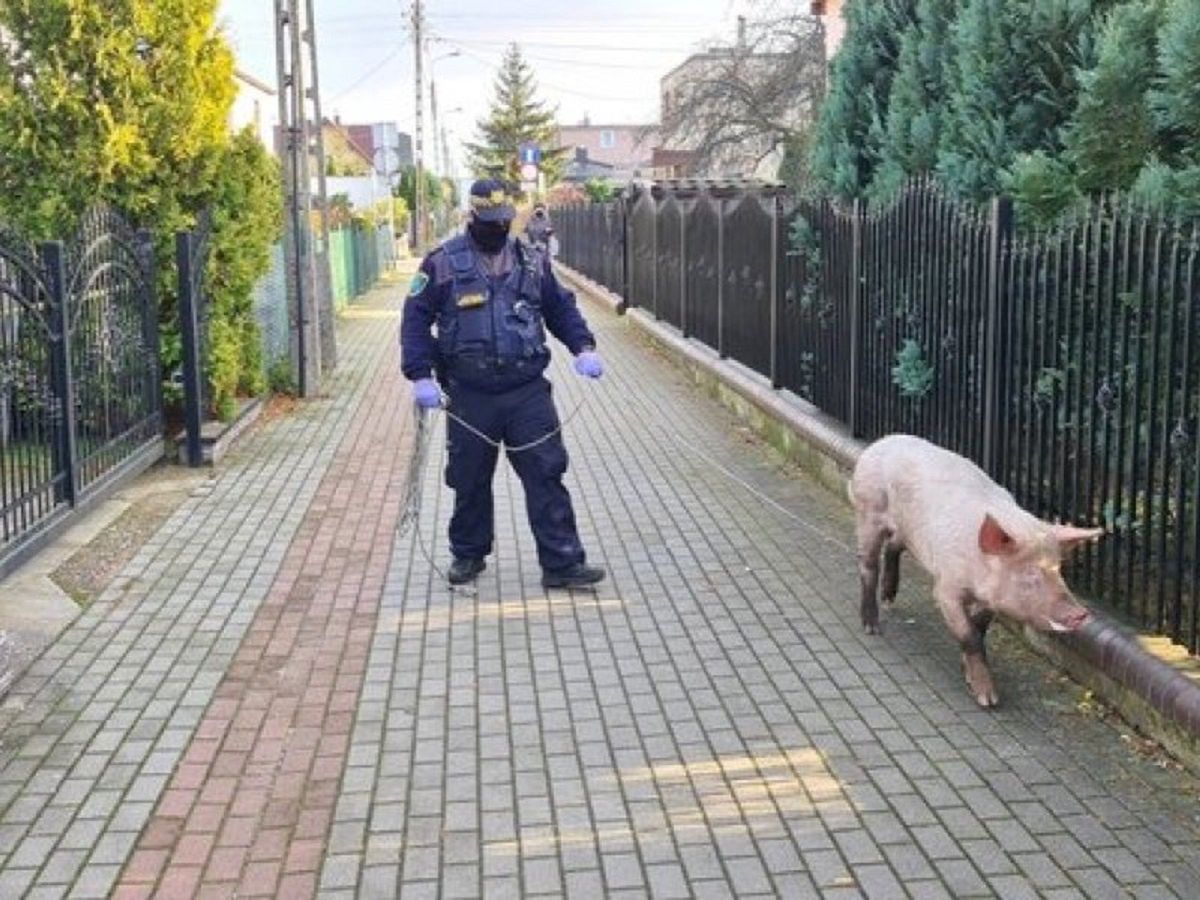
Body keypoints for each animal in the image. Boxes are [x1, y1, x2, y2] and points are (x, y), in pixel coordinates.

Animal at [849, 436, 1099, 710]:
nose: (1081, 613)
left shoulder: (991, 601)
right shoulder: (946, 588)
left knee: (894, 546)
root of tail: (881, 442)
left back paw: (889, 599)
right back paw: (872, 626)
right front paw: (988, 700)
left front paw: (967, 673)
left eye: (1058, 570)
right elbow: (968, 634)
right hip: (869, 511)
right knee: (868, 565)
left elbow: (979, 628)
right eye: (1030, 575)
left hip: (908, 531)